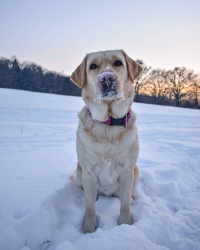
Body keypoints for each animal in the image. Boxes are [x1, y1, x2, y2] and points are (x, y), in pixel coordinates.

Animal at [70, 49, 142, 233]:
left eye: (118, 63)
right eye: (93, 66)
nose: (107, 78)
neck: (108, 125)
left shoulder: (127, 170)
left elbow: (124, 205)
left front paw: (125, 225)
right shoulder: (88, 171)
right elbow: (89, 207)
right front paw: (88, 229)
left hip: (135, 172)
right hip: (79, 171)